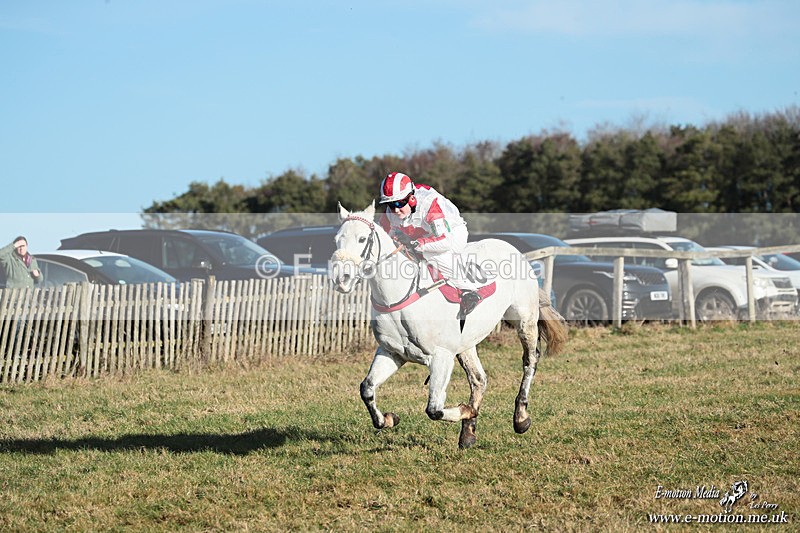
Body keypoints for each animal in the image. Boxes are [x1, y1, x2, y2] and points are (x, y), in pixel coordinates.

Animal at [330, 202, 568, 448]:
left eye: (362, 239)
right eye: (337, 239)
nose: (341, 279)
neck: (400, 295)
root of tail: (514, 250)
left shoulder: (441, 356)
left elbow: (434, 409)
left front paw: (466, 410)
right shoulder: (391, 353)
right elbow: (367, 389)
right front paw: (388, 419)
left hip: (524, 320)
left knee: (530, 361)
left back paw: (520, 417)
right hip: (466, 342)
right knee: (479, 379)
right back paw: (468, 434)